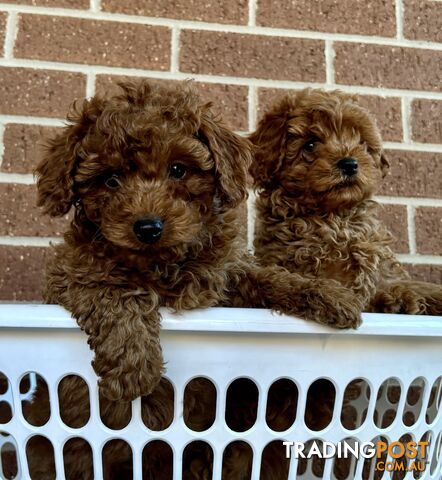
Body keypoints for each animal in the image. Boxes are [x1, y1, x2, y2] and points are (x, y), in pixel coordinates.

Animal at [32, 82, 362, 480]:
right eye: (110, 180)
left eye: (178, 170)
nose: (147, 227)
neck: (160, 262)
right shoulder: (72, 272)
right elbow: (114, 293)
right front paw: (134, 367)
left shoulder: (226, 277)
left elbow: (268, 277)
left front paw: (331, 295)